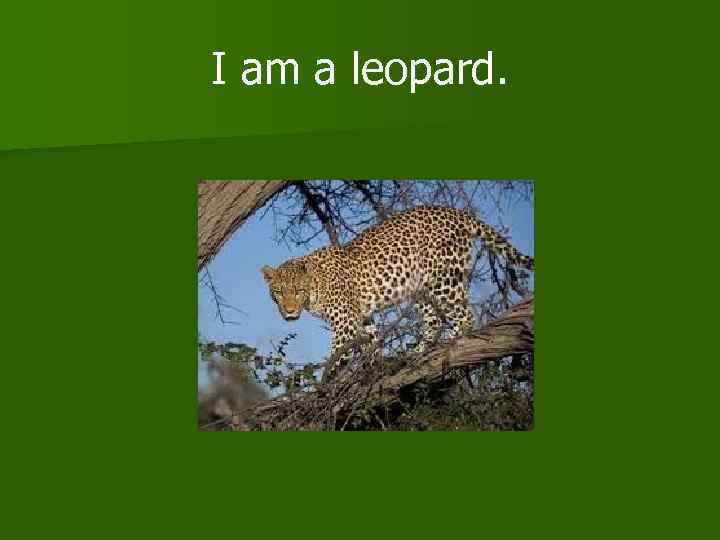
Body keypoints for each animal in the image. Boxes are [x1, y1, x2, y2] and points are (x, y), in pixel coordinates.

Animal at [261, 205, 534, 381]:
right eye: (278, 292)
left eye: (298, 291)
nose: (289, 311)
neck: (316, 286)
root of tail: (456, 212)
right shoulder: (363, 317)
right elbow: (373, 343)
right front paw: (373, 370)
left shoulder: (345, 323)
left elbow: (338, 356)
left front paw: (325, 387)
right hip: (420, 287)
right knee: (433, 320)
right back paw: (418, 351)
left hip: (443, 279)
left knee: (465, 314)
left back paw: (451, 342)